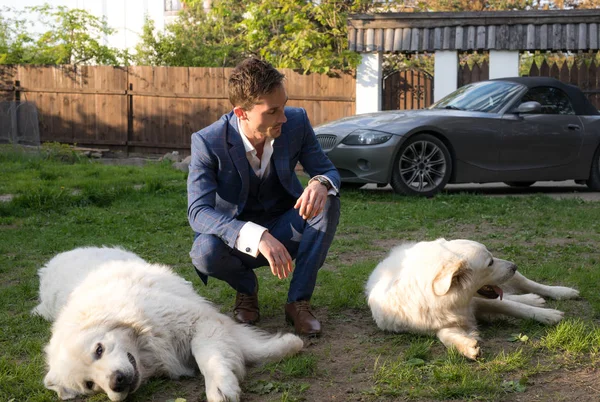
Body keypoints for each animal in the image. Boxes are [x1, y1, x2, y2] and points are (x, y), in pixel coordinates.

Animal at [32, 247, 304, 400]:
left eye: (99, 350)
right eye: (89, 385)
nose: (115, 382)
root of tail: (55, 259)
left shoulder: (199, 320)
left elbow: (213, 354)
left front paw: (220, 386)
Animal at [366, 240, 580, 360]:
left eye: (492, 257)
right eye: (490, 262)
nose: (514, 265)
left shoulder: (478, 302)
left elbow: (513, 306)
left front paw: (546, 315)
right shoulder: (436, 324)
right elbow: (446, 336)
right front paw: (467, 347)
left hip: (514, 281)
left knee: (530, 285)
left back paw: (561, 292)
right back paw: (533, 299)